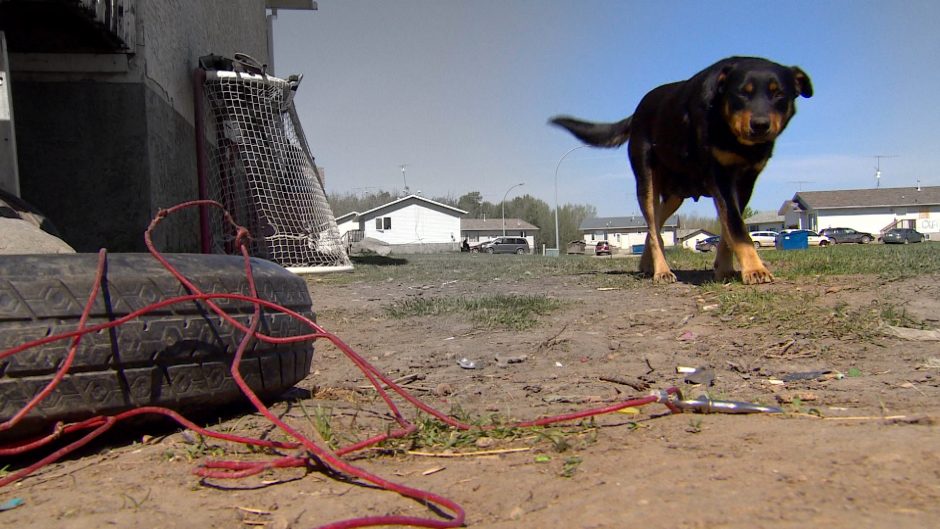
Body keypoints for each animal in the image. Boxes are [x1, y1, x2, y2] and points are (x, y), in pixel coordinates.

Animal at [556, 55, 812, 282]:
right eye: (742, 93)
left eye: (779, 94)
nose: (760, 125)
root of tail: (637, 113)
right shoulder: (720, 176)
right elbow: (737, 227)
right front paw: (755, 270)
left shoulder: (745, 182)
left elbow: (728, 229)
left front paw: (725, 269)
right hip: (646, 182)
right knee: (653, 228)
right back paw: (661, 271)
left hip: (674, 196)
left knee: (654, 228)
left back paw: (647, 265)